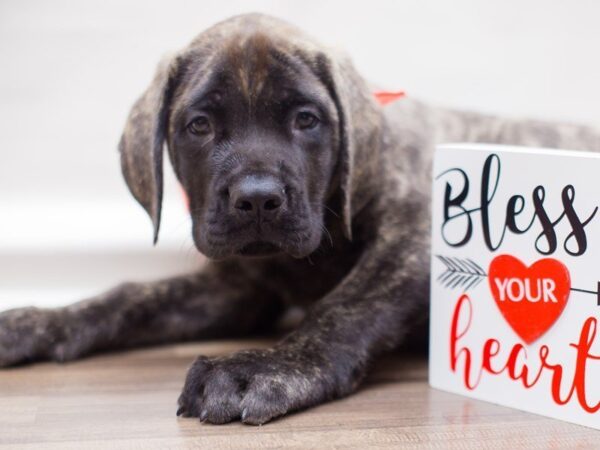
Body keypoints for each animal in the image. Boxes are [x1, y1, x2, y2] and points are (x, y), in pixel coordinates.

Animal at [1, 12, 600, 424]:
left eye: (307, 120)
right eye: (199, 125)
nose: (257, 199)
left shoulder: (413, 238)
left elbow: (346, 306)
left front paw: (264, 369)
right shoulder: (239, 288)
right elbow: (131, 297)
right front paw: (40, 321)